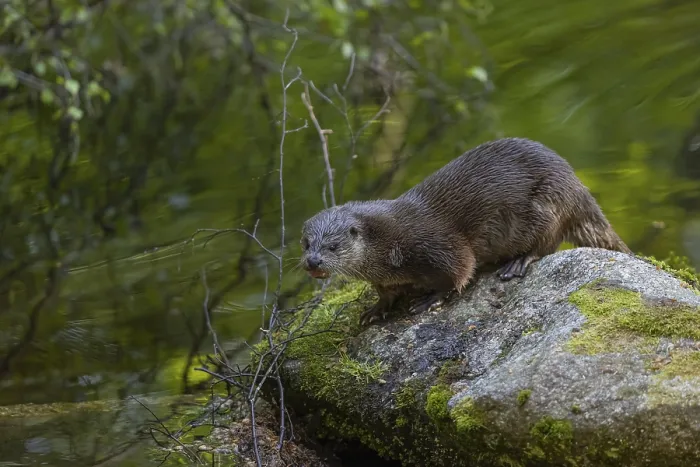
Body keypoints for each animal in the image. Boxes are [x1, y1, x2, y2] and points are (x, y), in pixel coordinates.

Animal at [300, 137, 632, 325]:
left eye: (332, 246)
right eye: (306, 244)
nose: (313, 262)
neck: (388, 246)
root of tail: (576, 184)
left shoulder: (436, 245)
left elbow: (460, 270)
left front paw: (430, 298)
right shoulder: (386, 277)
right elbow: (386, 293)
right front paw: (376, 309)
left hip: (548, 204)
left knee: (547, 244)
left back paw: (517, 262)